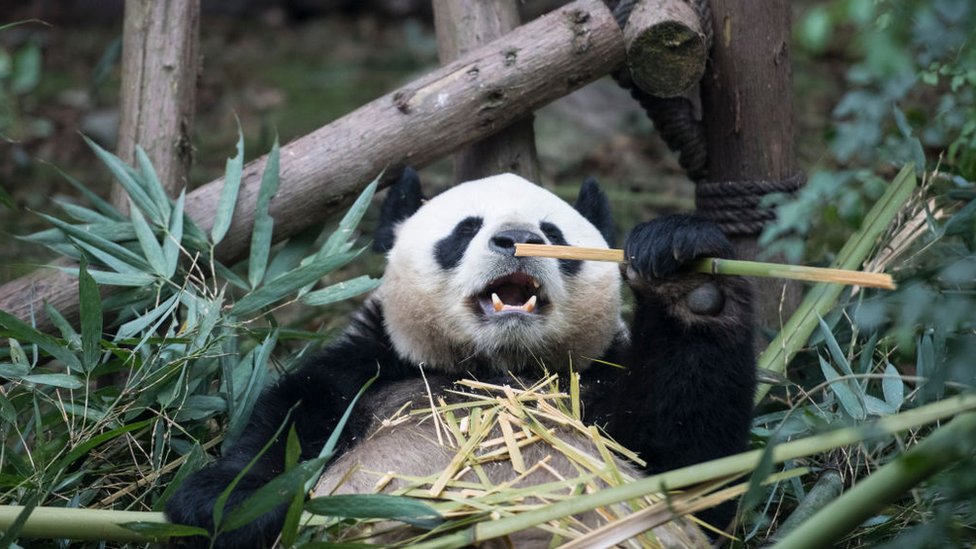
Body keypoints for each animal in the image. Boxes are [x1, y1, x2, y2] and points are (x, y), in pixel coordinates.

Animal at [166, 169, 756, 548]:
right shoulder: (367, 374)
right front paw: (224, 501)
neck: (496, 369)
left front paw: (689, 277)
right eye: (467, 228)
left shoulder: (592, 390)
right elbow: (281, 435)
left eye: (553, 234)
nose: (516, 239)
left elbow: (693, 469)